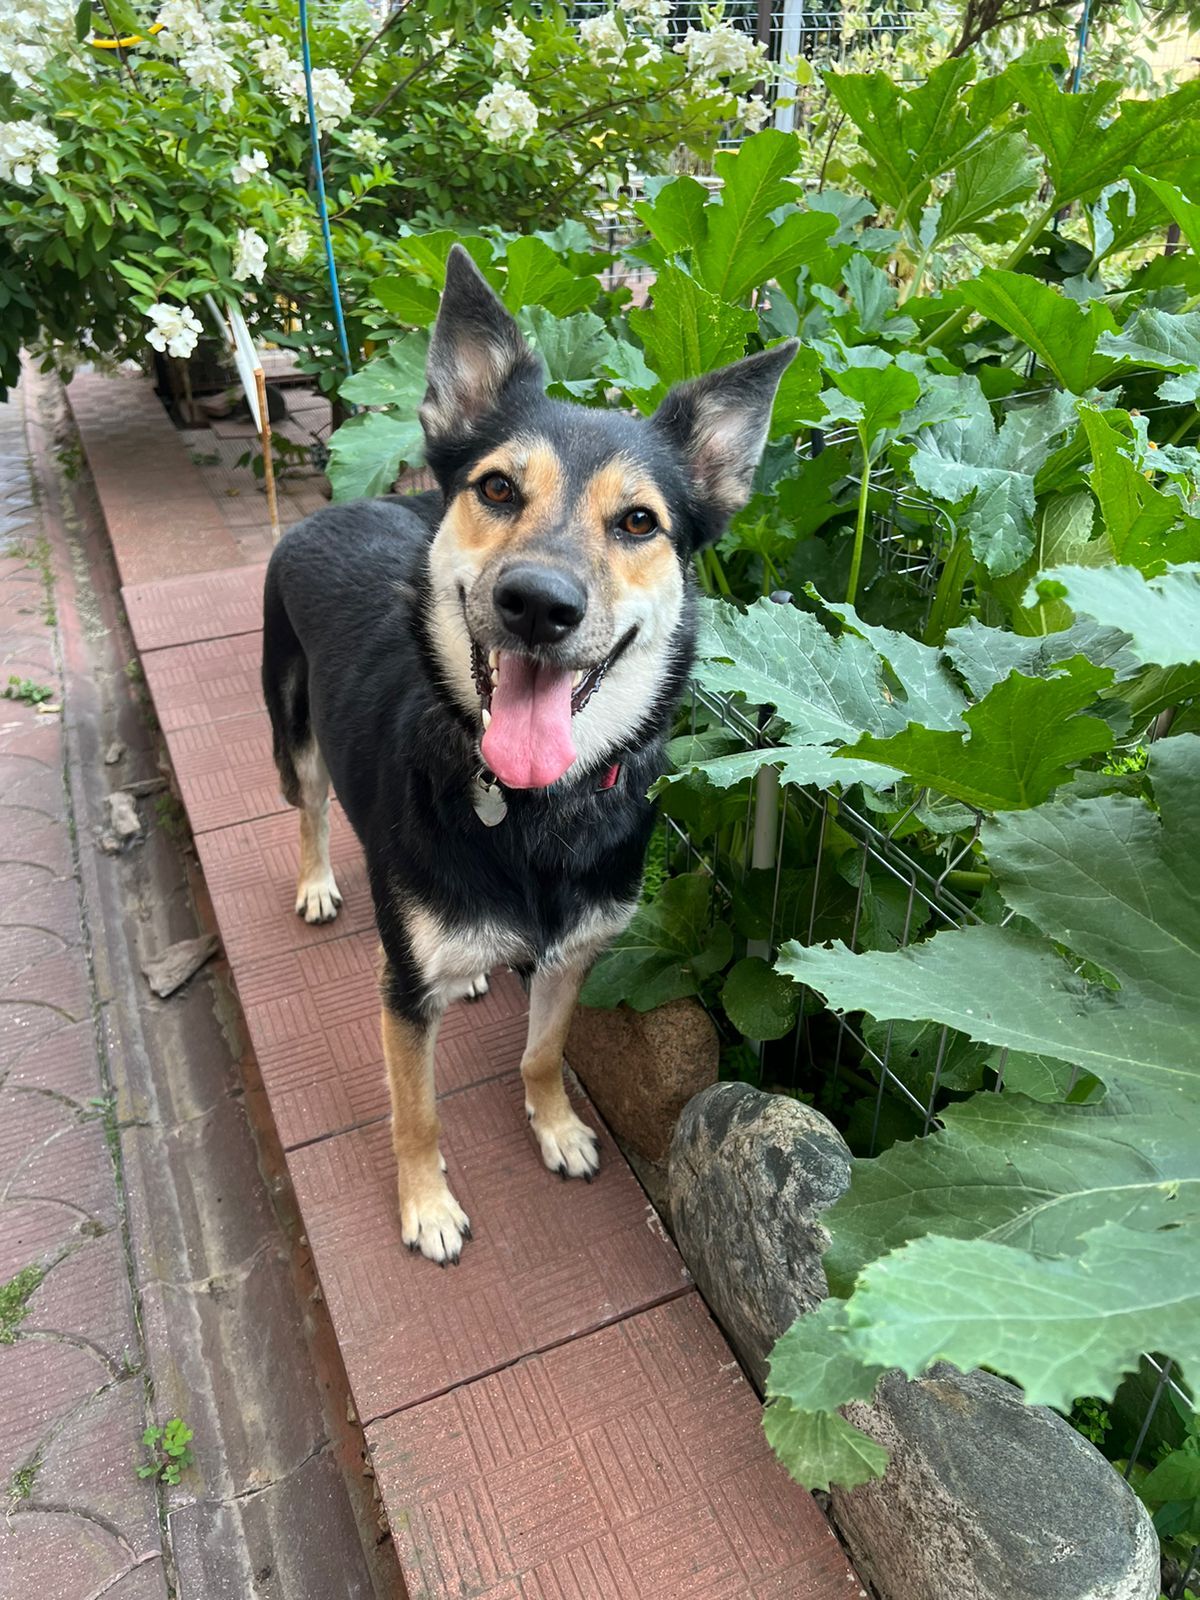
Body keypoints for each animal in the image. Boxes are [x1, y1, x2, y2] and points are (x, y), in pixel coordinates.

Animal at [260, 246, 800, 1260]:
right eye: (499, 489)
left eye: (639, 522)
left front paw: (554, 1128)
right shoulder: (401, 995)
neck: (534, 808)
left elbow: (544, 1051)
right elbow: (417, 1110)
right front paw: (427, 1206)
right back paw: (316, 883)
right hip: (292, 729)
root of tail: (336, 506)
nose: (538, 605)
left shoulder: (575, 953)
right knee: (310, 810)